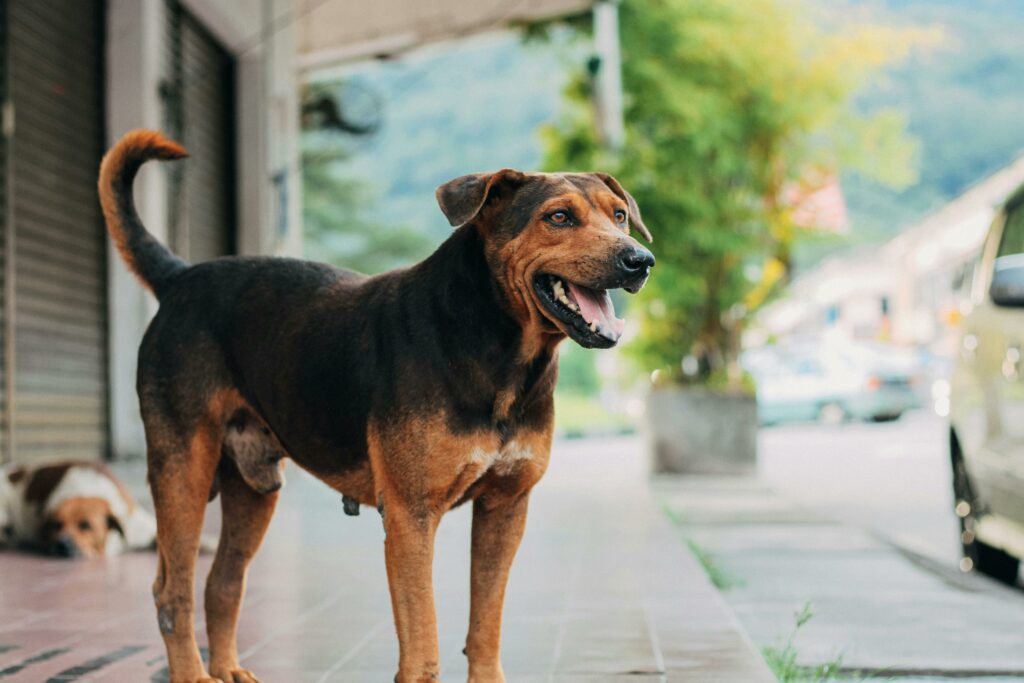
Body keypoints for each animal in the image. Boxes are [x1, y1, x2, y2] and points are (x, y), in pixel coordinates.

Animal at [97, 129, 655, 683]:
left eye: (620, 216)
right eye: (558, 217)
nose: (640, 261)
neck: (501, 353)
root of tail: (179, 278)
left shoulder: (505, 508)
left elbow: (486, 628)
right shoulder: (411, 516)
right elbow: (423, 644)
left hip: (252, 489)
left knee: (223, 582)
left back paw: (228, 668)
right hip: (183, 471)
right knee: (171, 592)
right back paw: (192, 672)